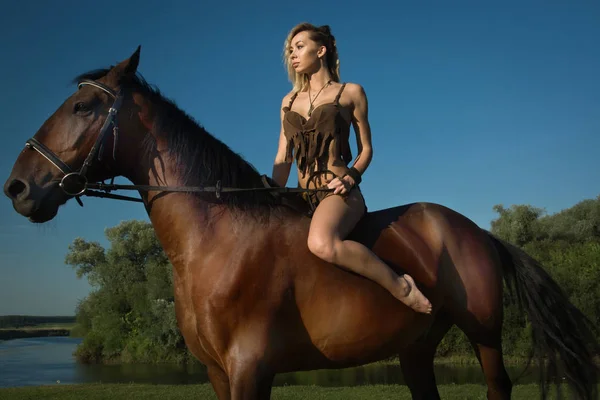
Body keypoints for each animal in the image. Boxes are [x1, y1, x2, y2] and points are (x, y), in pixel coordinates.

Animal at [4, 47, 600, 400]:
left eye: (83, 107)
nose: (18, 188)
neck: (215, 240)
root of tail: (478, 231)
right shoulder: (217, 373)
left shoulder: (250, 368)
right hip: (416, 351)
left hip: (485, 337)